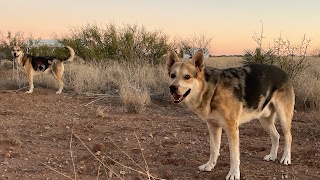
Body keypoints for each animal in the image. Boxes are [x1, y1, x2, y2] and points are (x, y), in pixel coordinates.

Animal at [166, 49, 294, 180]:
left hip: (284, 118)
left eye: (187, 77)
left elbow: (234, 156)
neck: (212, 89)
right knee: (276, 136)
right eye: (172, 75)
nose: (172, 88)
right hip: (264, 120)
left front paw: (233, 174)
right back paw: (272, 156)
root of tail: (284, 73)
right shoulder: (213, 127)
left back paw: (286, 158)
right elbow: (214, 149)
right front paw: (209, 166)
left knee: (288, 137)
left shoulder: (232, 129)